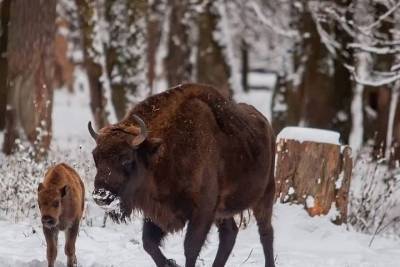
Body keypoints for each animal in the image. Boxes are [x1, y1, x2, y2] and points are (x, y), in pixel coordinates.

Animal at [88, 84, 276, 267]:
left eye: (127, 159)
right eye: (95, 157)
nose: (101, 196)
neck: (162, 152)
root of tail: (266, 124)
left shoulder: (202, 212)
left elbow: (190, 248)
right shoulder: (157, 211)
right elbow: (148, 243)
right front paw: (170, 264)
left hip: (265, 195)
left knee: (266, 233)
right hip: (223, 211)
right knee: (229, 233)